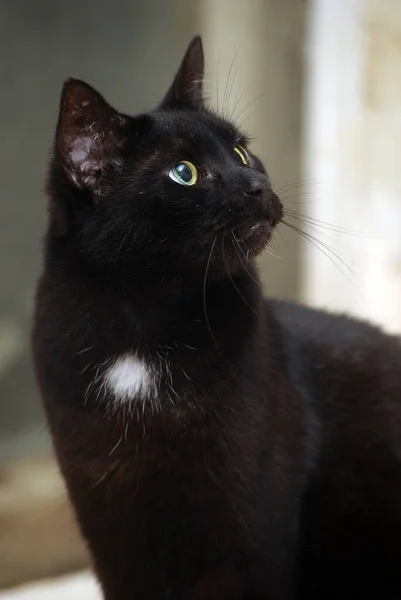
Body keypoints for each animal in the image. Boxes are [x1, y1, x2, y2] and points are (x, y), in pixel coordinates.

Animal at [32, 35, 401, 596]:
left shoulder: (248, 532)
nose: (256, 184)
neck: (142, 329)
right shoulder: (110, 524)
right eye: (184, 173)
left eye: (243, 151)